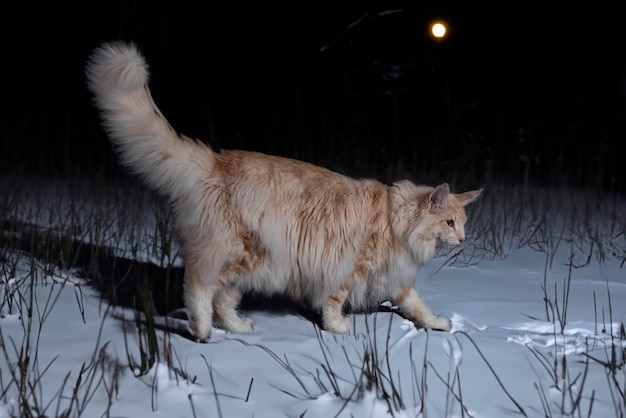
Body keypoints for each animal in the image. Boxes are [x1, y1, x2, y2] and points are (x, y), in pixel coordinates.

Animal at [85, 41, 480, 342]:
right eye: (449, 223)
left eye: (462, 224)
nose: (462, 240)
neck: (394, 220)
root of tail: (216, 160)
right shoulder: (346, 267)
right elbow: (334, 301)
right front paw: (338, 328)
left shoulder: (396, 280)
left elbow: (419, 307)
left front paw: (439, 324)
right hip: (232, 250)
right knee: (198, 285)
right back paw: (201, 330)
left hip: (250, 262)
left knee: (222, 299)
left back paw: (237, 327)